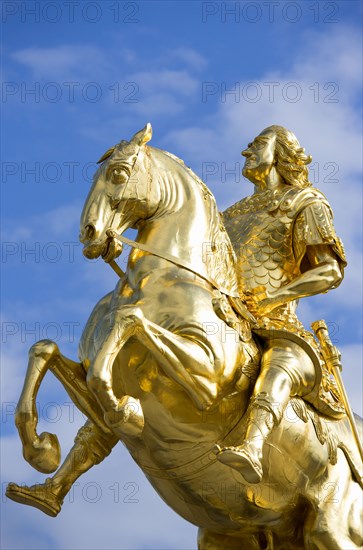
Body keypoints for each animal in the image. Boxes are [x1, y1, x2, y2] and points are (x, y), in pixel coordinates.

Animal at [6, 125, 363, 550]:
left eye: (119, 173)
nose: (89, 233)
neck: (153, 281)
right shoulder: (88, 378)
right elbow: (45, 351)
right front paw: (40, 448)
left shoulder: (207, 381)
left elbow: (128, 322)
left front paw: (125, 409)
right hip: (227, 534)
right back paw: (43, 492)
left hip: (332, 526)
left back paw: (243, 456)